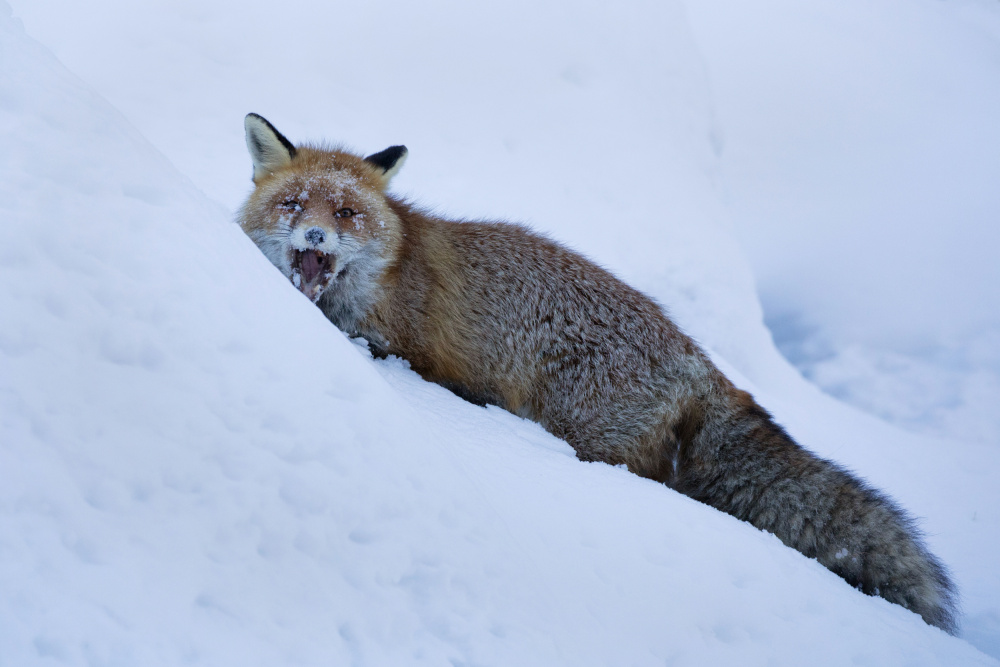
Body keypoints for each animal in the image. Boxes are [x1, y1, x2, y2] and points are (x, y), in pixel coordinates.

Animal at [236, 113, 960, 632]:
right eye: (295, 205)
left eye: (347, 213)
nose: (317, 240)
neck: (385, 276)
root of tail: (697, 356)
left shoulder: (413, 350)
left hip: (588, 437)